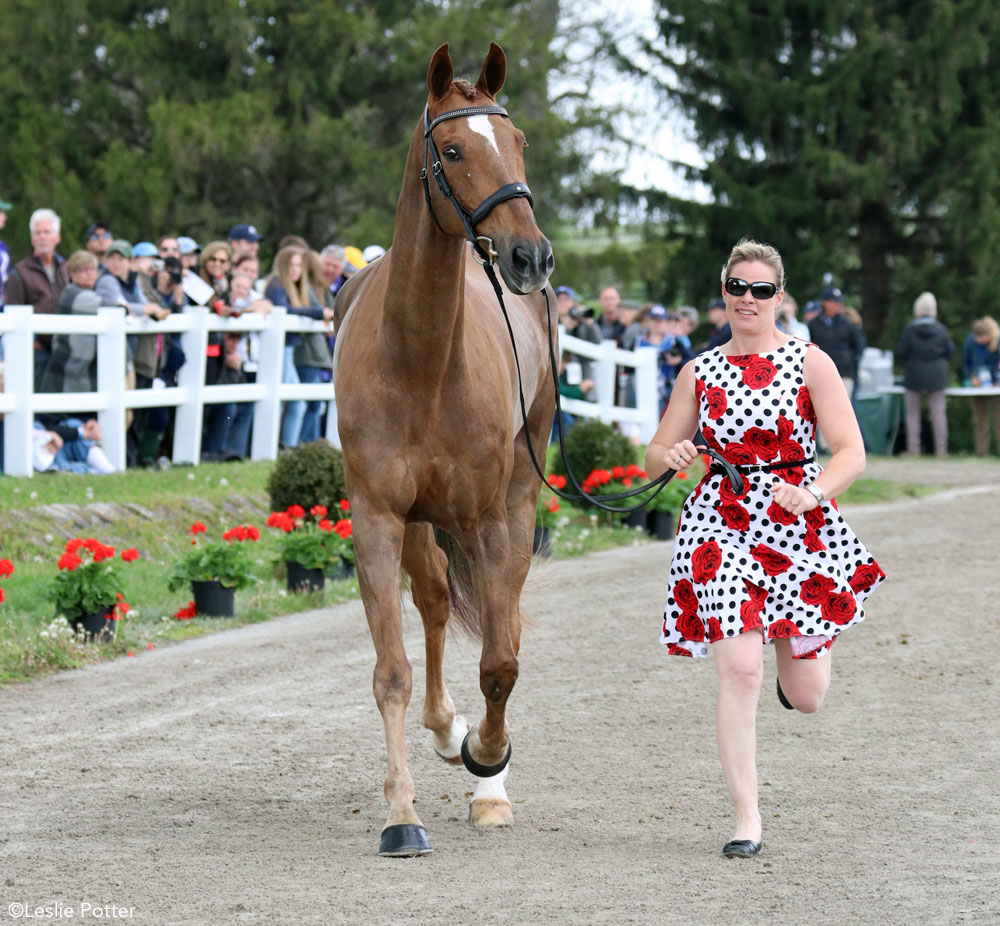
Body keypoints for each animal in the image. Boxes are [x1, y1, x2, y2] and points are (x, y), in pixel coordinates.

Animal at [334, 40, 556, 860]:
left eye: (518, 141)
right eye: (453, 150)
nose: (530, 256)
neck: (424, 361)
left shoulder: (489, 518)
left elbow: (500, 661)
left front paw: (488, 763)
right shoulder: (377, 519)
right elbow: (392, 672)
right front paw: (402, 814)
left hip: (516, 501)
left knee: (504, 621)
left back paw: (486, 774)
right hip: (420, 523)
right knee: (431, 602)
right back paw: (440, 730)